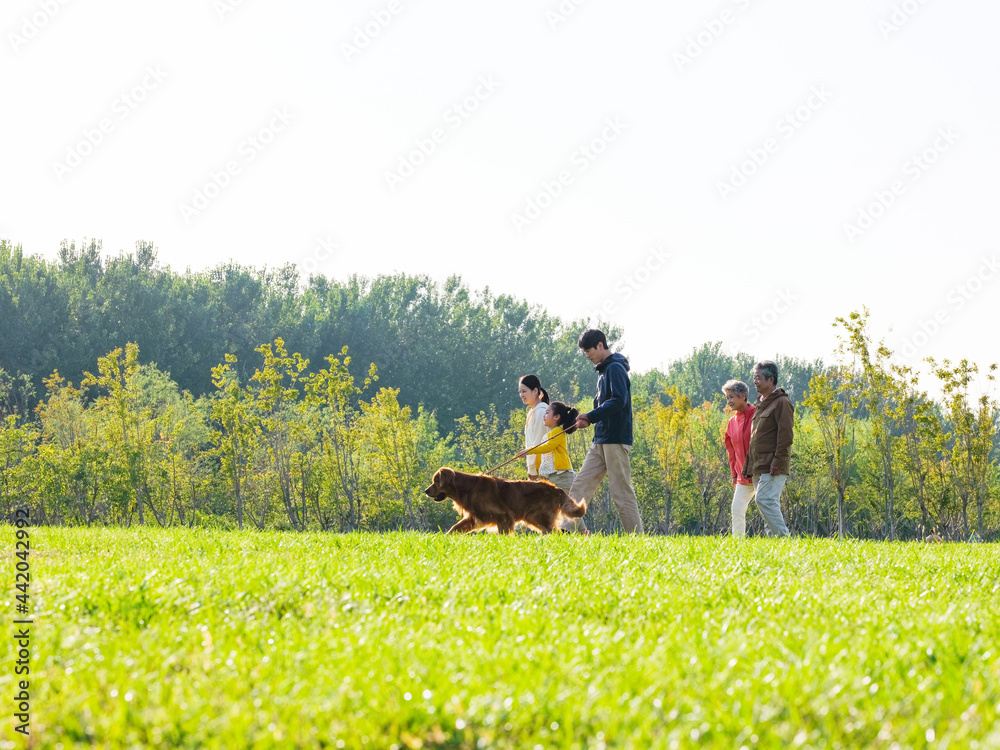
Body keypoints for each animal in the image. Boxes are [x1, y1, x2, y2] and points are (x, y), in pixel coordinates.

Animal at [422, 470, 584, 536]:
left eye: (436, 481)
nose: (425, 491)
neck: (467, 488)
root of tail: (555, 488)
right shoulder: (473, 518)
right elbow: (454, 528)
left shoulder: (504, 517)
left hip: (536, 516)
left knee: (554, 532)